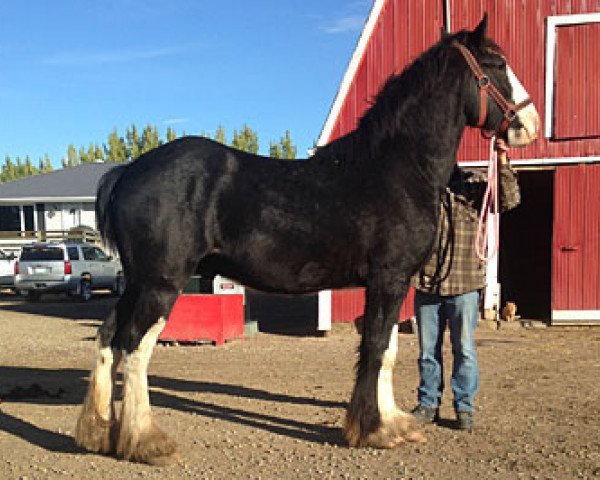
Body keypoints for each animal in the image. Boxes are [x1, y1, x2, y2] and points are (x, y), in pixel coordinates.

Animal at [75, 15, 540, 464]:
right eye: (497, 64)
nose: (531, 124)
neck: (396, 168)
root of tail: (128, 172)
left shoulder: (393, 283)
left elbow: (388, 351)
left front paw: (392, 423)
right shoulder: (388, 279)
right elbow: (375, 348)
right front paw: (372, 430)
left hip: (138, 283)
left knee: (108, 339)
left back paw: (99, 432)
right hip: (161, 284)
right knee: (135, 348)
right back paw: (145, 442)